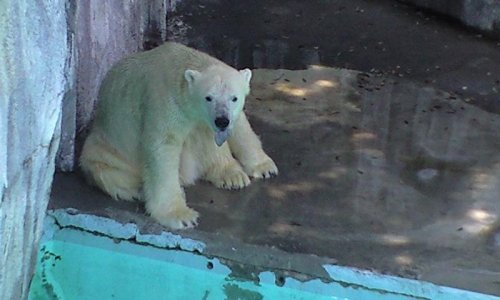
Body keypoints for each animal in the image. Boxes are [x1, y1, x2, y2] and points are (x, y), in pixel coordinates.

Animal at [80, 42, 280, 229]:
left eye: (234, 98)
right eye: (208, 97)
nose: (221, 121)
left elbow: (241, 127)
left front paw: (264, 167)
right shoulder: (166, 104)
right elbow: (163, 148)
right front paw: (181, 216)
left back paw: (230, 175)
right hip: (105, 151)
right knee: (108, 173)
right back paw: (139, 190)